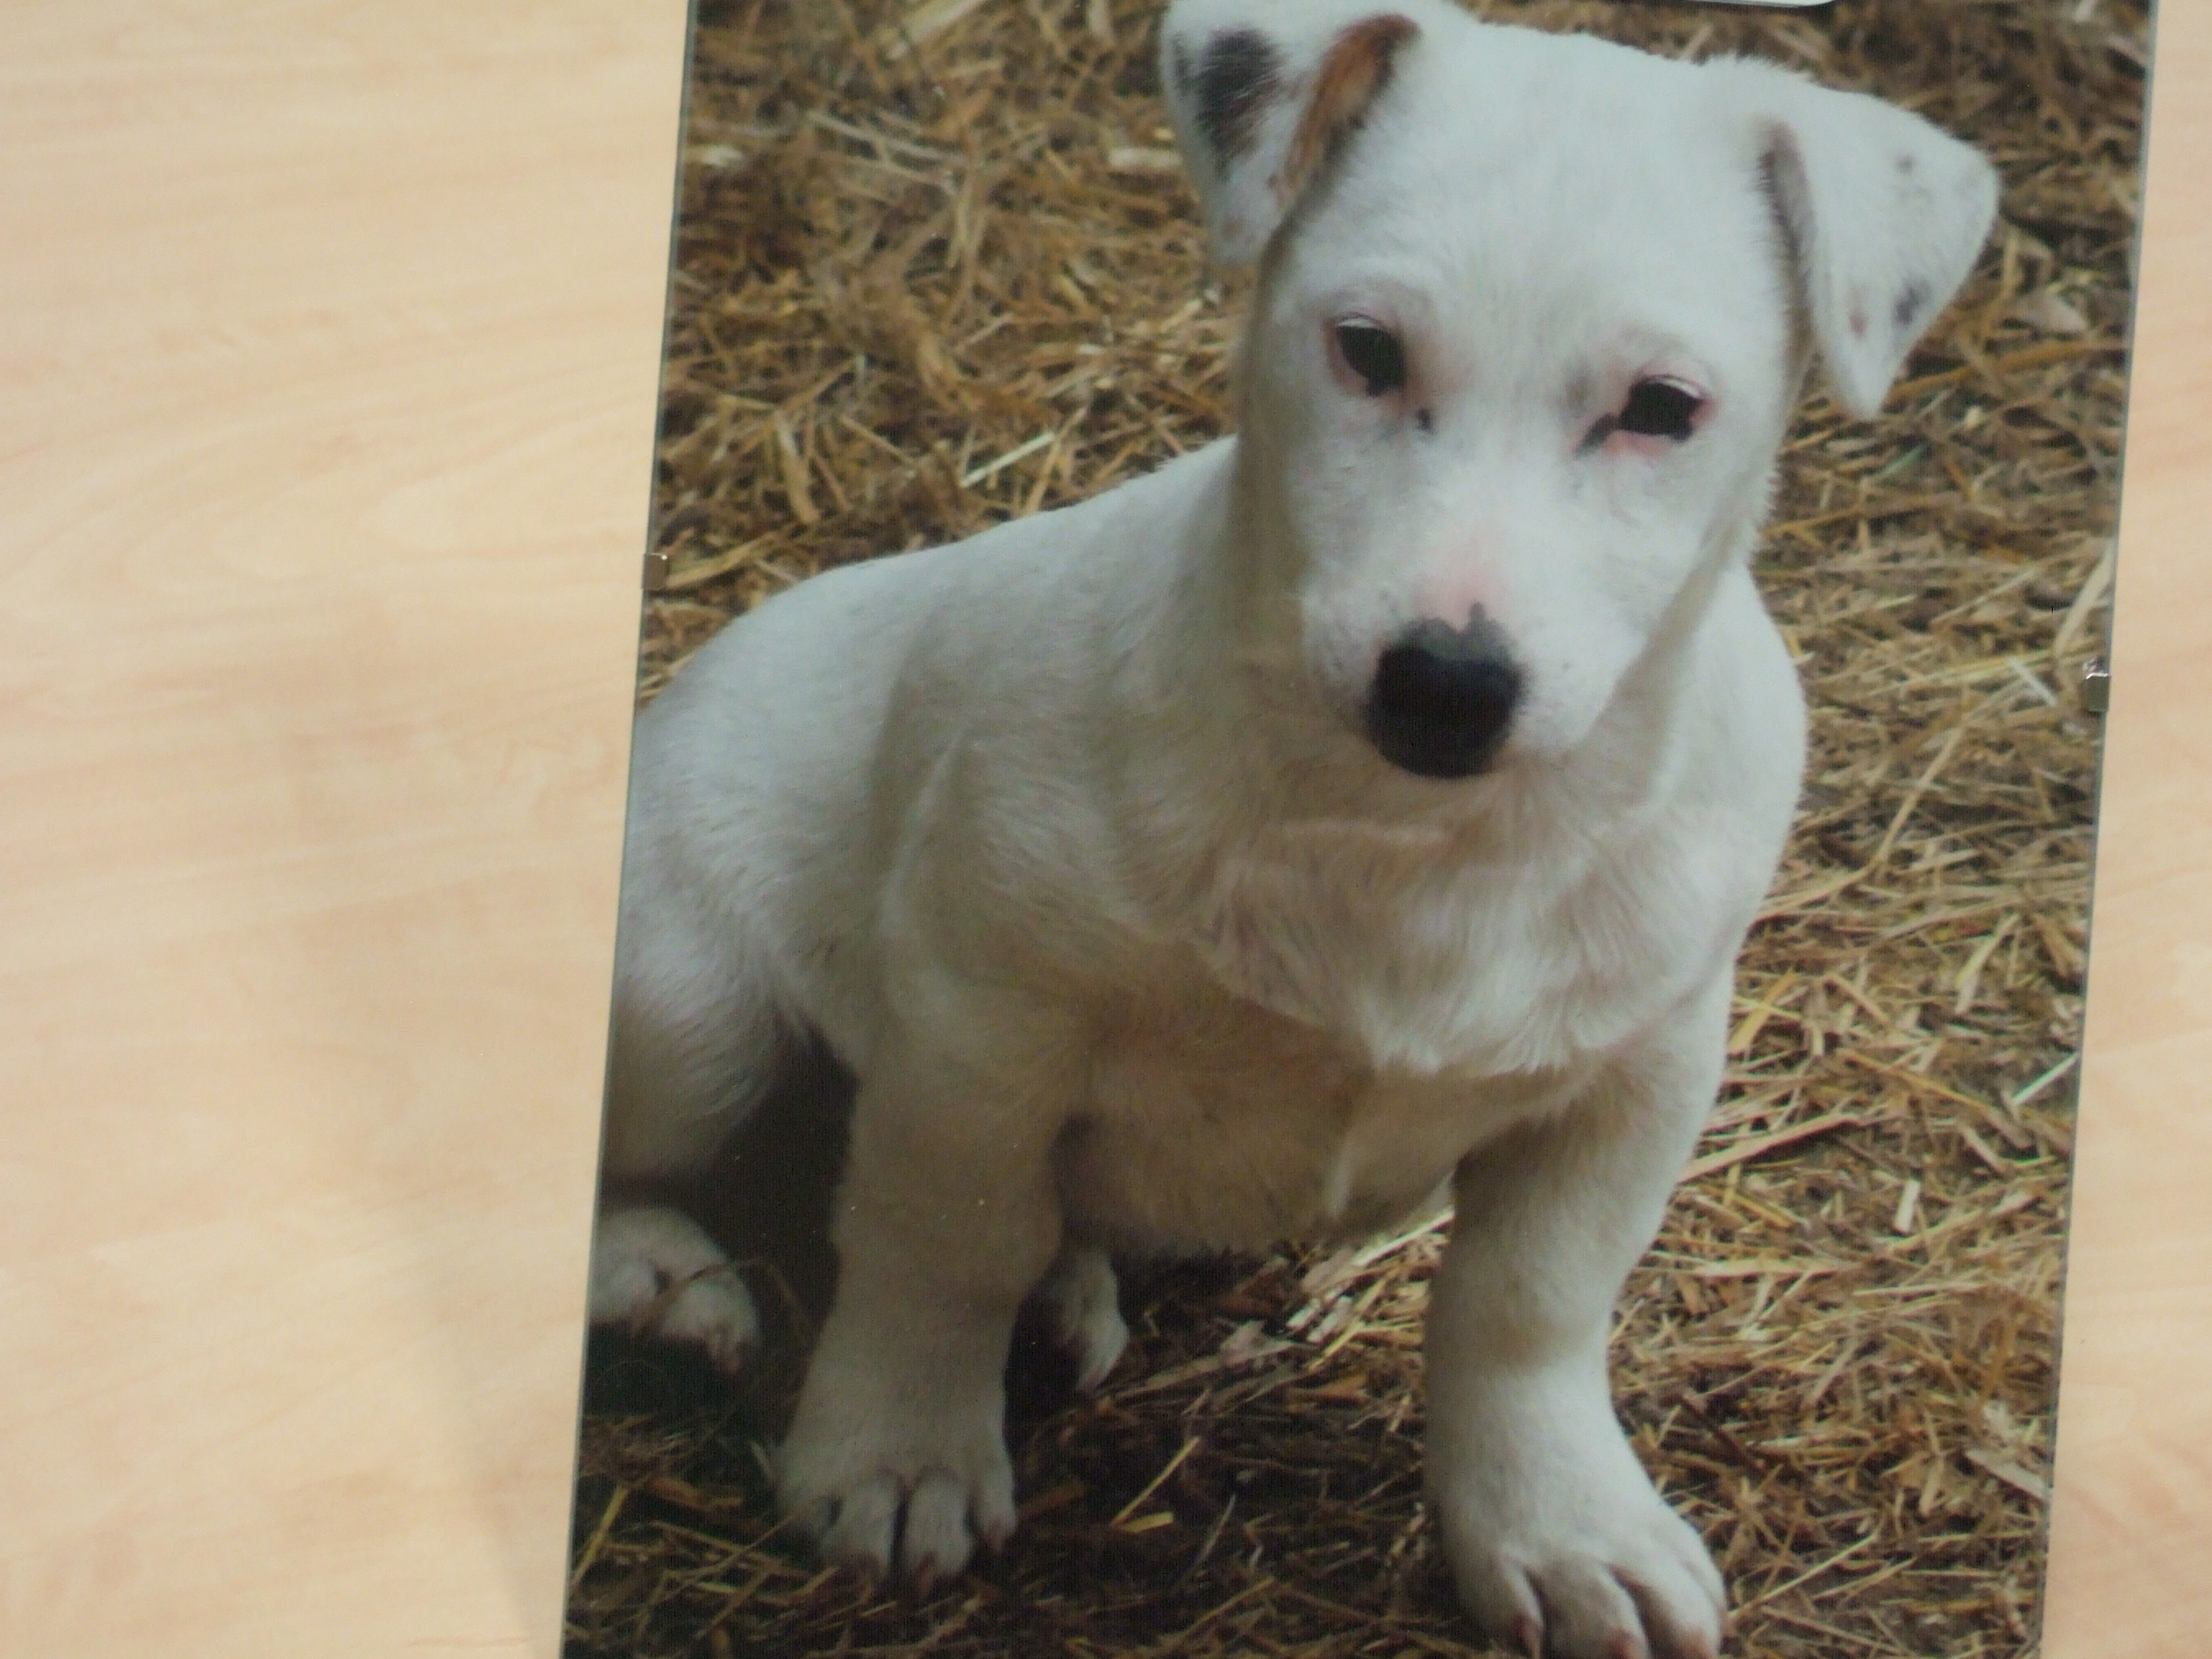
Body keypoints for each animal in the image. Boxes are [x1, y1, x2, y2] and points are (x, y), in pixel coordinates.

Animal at [586, 3, 1995, 1653]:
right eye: (1367, 351)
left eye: (1661, 409)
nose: (1445, 683)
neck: (1412, 843)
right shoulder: (975, 1018)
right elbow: (940, 1244)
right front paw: (896, 1450)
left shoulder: (1638, 1068)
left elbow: (1528, 1305)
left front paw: (1556, 1524)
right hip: (687, 1000)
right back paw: (664, 1275)